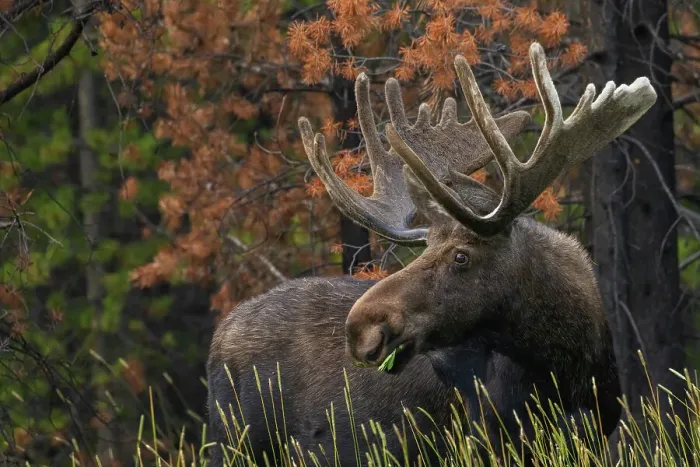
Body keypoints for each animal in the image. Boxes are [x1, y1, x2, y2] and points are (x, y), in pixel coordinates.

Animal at [207, 42, 657, 466]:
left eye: (460, 256)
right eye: (425, 247)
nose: (360, 328)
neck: (570, 369)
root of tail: (220, 337)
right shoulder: (486, 442)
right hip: (235, 443)